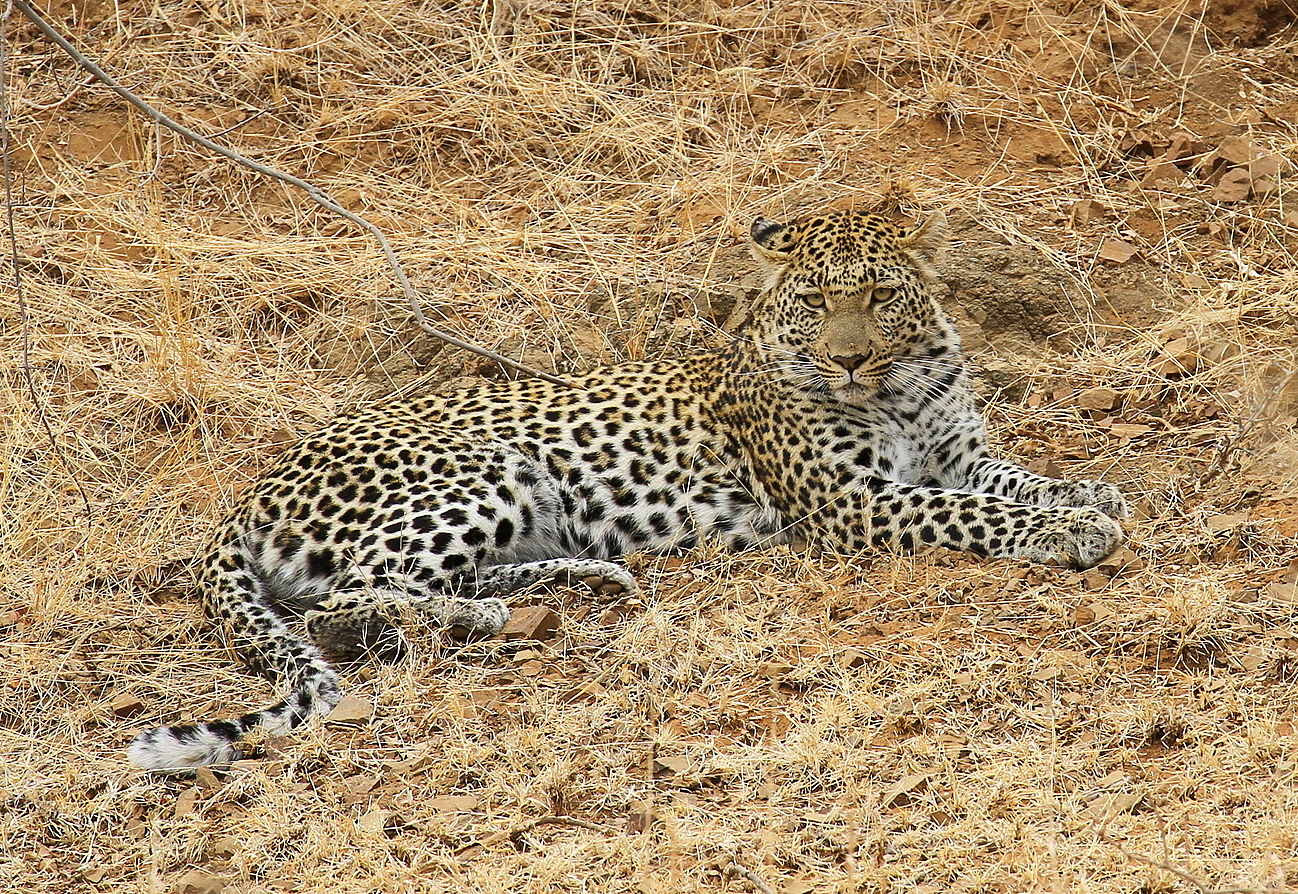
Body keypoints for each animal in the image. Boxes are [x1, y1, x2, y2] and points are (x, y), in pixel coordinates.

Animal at [129, 207, 1127, 772]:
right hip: (482, 471)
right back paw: (480, 616)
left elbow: (1013, 480)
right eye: (813, 303)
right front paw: (1074, 531)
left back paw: (573, 580)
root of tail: (255, 488)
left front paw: (1092, 494)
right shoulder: (858, 501)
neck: (901, 387)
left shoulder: (954, 453)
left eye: (881, 297)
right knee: (348, 599)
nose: (847, 357)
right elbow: (977, 512)